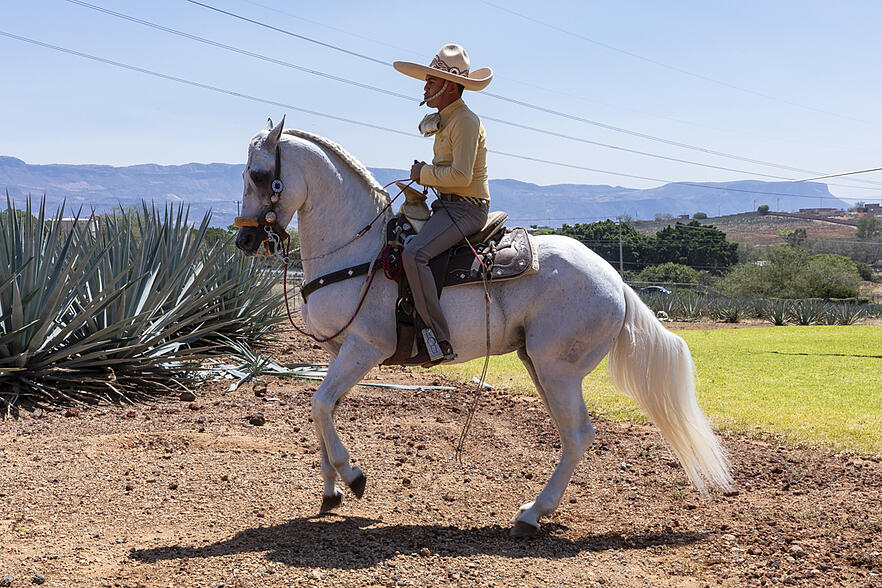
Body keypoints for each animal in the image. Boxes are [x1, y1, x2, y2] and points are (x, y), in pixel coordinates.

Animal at [232, 119, 728, 536]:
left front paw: (353, 477)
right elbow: (324, 408)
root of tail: (616, 281)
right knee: (573, 434)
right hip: (538, 365)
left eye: (258, 174)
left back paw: (532, 514)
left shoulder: (365, 348)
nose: (246, 239)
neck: (362, 250)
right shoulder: (338, 351)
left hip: (558, 370)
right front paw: (331, 489)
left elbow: (318, 404)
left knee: (577, 436)